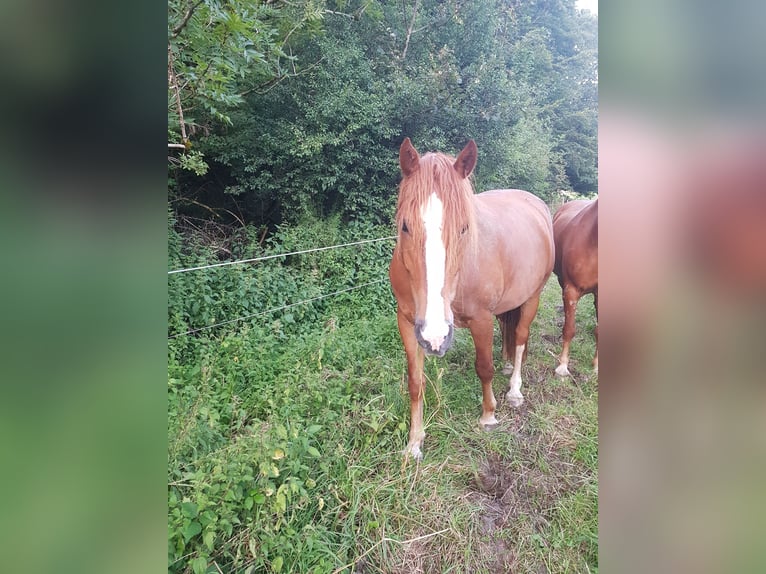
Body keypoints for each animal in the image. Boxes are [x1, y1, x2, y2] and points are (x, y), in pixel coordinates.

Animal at [388, 138, 556, 460]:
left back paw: (515, 390)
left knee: (520, 338)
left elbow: (484, 367)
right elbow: (415, 381)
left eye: (464, 228)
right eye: (405, 226)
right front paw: (414, 442)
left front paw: (488, 416)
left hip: (532, 297)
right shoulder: (406, 321)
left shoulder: (481, 320)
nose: (436, 336)